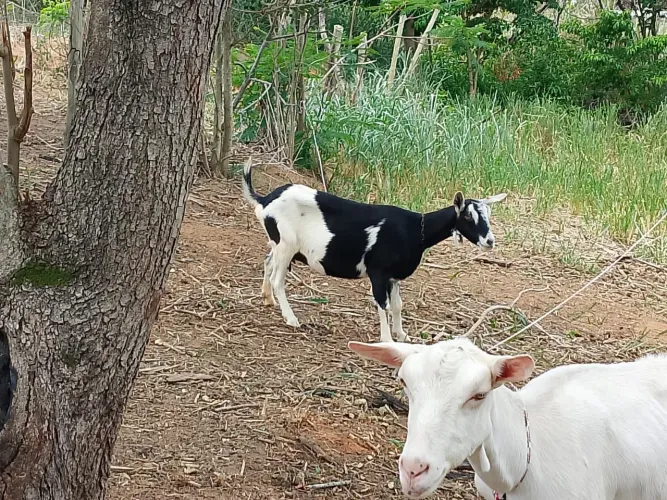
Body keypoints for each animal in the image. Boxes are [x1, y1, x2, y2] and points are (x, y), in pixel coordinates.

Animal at [242, 160, 506, 342]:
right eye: (468, 217)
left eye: (488, 214)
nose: (489, 241)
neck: (414, 230)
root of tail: (264, 200)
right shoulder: (378, 272)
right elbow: (383, 304)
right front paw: (387, 339)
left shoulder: (394, 276)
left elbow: (398, 305)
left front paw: (403, 335)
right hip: (286, 244)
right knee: (277, 279)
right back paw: (291, 318)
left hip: (279, 244)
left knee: (268, 262)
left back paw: (268, 299)